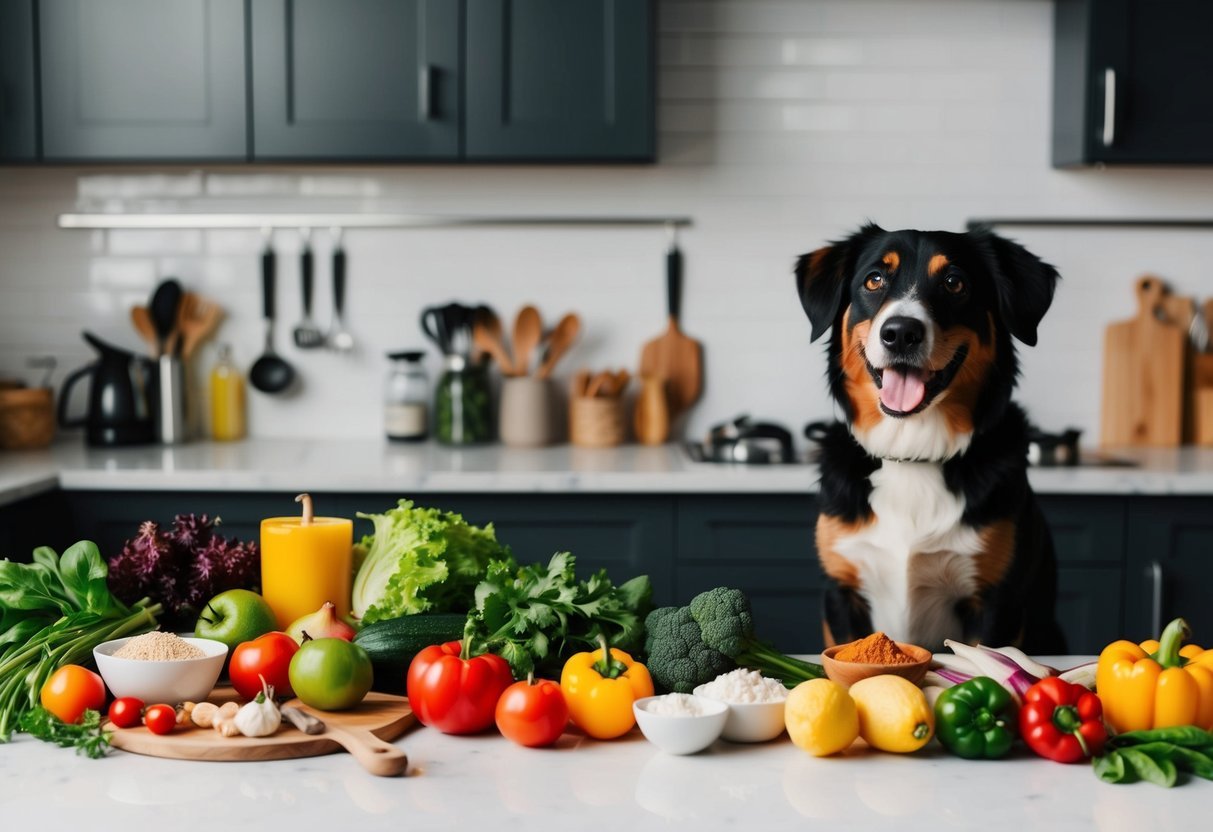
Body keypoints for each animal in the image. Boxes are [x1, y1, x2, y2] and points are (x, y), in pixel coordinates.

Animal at [795, 224, 1072, 654]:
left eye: (954, 283)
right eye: (874, 280)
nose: (900, 333)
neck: (913, 453)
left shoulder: (995, 602)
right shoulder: (842, 592)